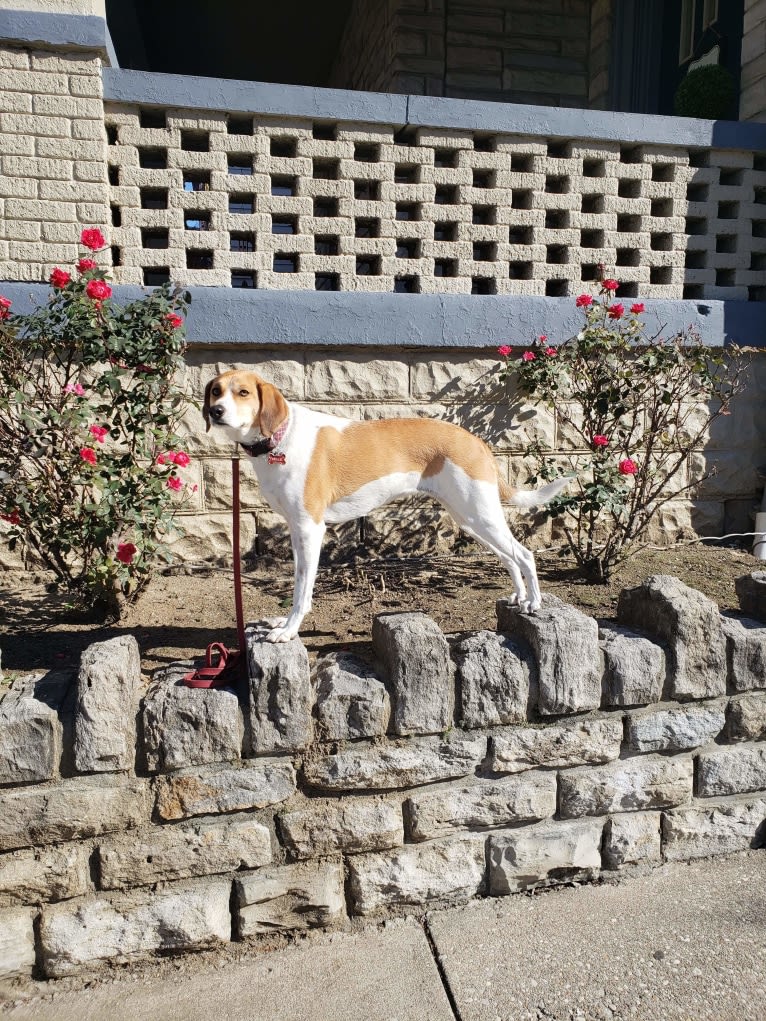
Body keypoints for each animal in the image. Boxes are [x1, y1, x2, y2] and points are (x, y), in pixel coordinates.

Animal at [204, 371, 571, 641]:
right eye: (216, 391)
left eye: (243, 392)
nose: (215, 411)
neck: (281, 438)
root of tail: (475, 441)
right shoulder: (297, 531)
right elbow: (298, 583)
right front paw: (284, 623)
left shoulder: (310, 529)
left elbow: (301, 591)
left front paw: (288, 630)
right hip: (471, 519)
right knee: (509, 557)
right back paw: (520, 597)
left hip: (479, 516)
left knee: (524, 554)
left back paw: (534, 601)